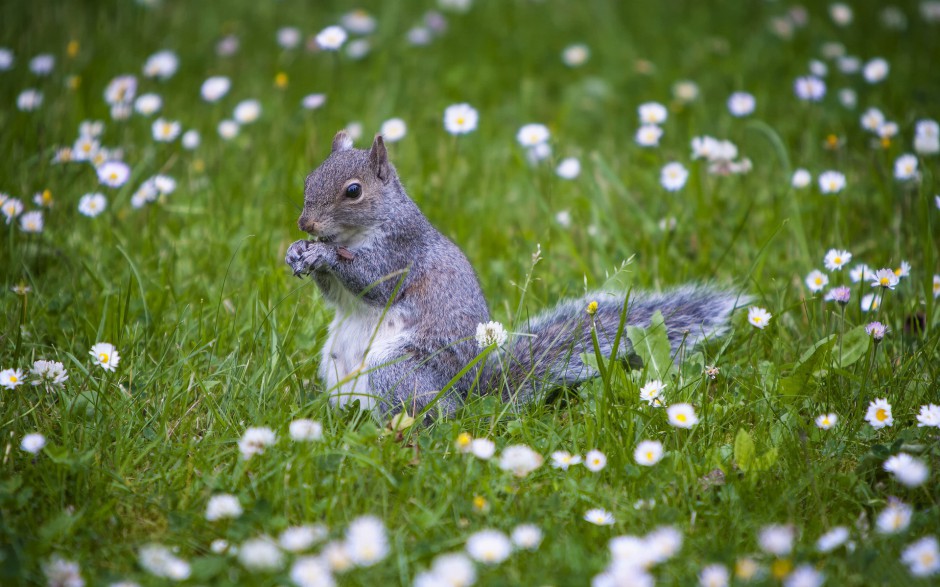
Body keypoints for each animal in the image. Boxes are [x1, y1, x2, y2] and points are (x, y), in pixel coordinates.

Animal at [286, 131, 748, 420]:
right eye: (308, 177)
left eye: (353, 191)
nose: (305, 224)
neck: (356, 233)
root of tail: (466, 398)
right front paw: (297, 252)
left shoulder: (401, 250)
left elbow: (374, 279)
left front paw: (323, 253)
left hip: (396, 371)